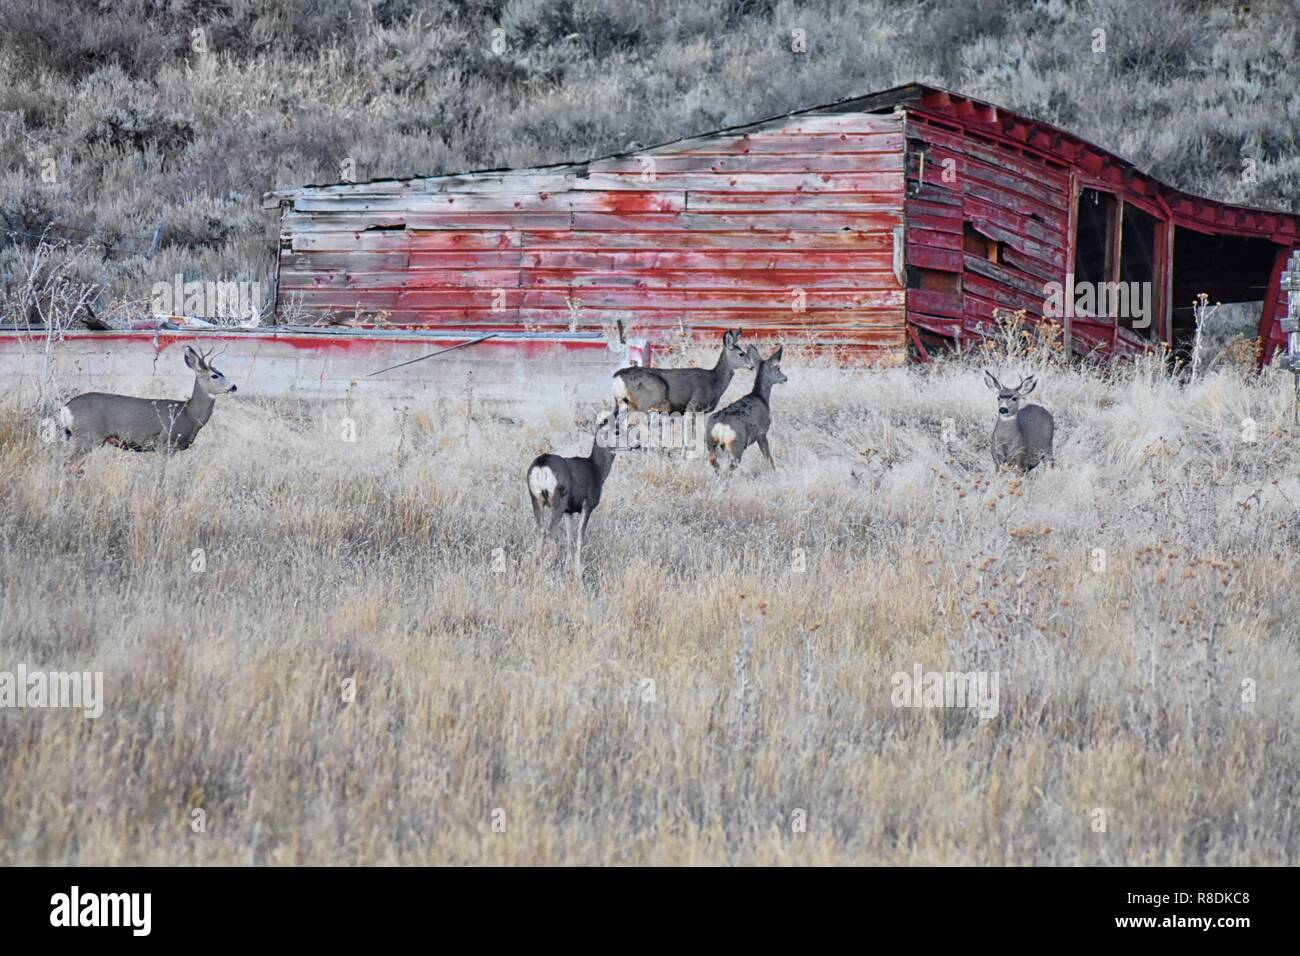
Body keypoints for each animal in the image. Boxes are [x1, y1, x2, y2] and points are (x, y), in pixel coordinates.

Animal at [59, 345, 237, 475]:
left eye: (221, 372)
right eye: (214, 375)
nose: (234, 386)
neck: (188, 415)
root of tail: (66, 408)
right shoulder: (165, 443)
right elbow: (161, 474)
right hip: (88, 435)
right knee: (68, 464)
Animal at [527, 402, 620, 576]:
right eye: (617, 430)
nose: (636, 444)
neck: (595, 469)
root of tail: (541, 464)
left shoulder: (568, 511)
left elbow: (569, 538)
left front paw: (567, 568)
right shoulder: (587, 505)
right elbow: (579, 537)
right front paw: (577, 572)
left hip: (536, 499)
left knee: (540, 530)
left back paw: (537, 564)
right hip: (557, 501)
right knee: (550, 531)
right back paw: (549, 564)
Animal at [612, 328, 753, 416]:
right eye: (741, 354)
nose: (752, 366)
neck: (714, 381)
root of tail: (617, 376)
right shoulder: (693, 405)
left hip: (626, 404)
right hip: (647, 401)